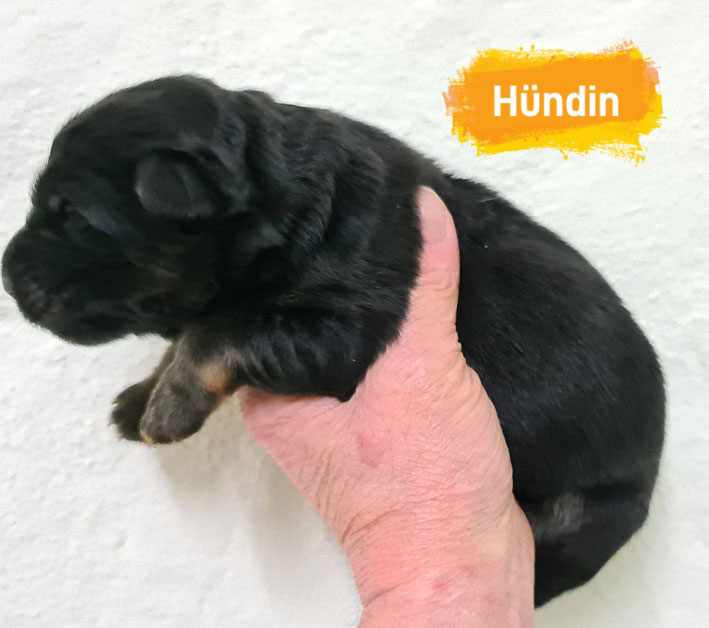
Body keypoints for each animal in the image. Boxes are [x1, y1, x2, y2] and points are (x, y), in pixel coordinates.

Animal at [1, 75, 665, 606]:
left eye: (75, 216)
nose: (6, 275)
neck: (288, 201)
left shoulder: (342, 328)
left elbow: (216, 332)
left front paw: (167, 408)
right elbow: (192, 329)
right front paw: (140, 399)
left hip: (581, 519)